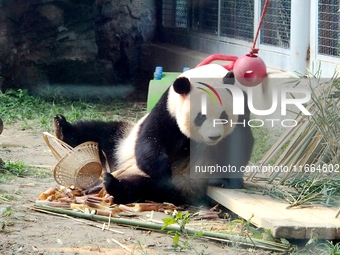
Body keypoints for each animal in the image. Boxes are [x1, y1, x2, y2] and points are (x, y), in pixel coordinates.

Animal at [54, 63, 254, 205]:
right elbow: (150, 139)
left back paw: (114, 185)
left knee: (146, 189)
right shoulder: (168, 110)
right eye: (200, 117)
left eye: (223, 116)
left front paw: (230, 180)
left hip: (181, 185)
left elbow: (241, 143)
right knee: (100, 133)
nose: (213, 137)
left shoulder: (242, 108)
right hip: (123, 140)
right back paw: (62, 128)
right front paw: (163, 170)